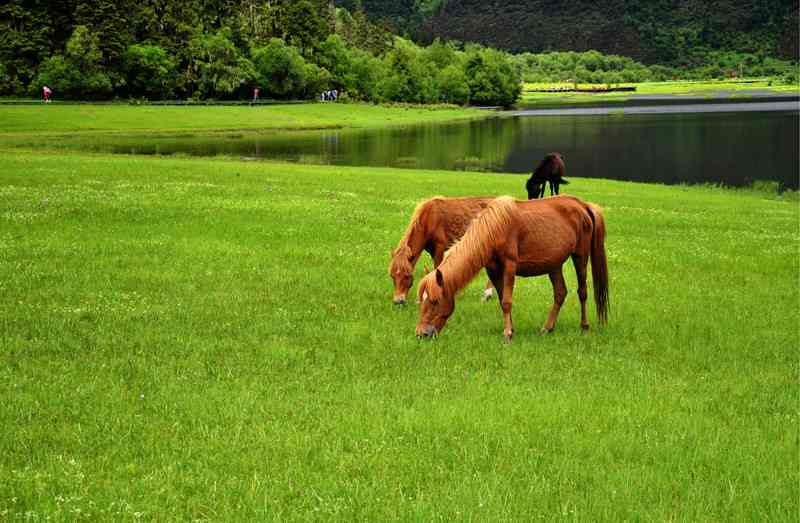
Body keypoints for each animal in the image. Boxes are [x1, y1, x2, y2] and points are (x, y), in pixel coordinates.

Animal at [416, 194, 608, 342]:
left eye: (434, 301)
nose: (421, 334)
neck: (494, 228)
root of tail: (583, 205)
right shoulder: (493, 270)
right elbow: (502, 300)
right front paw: (511, 329)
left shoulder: (509, 265)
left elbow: (507, 301)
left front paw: (507, 334)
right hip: (554, 265)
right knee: (560, 293)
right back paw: (547, 328)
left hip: (580, 256)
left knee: (582, 292)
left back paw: (584, 326)